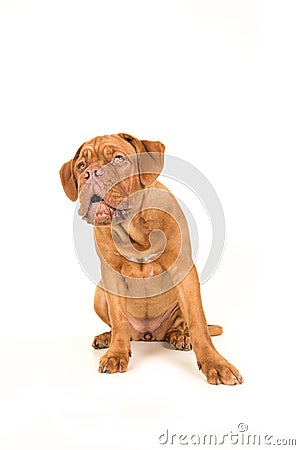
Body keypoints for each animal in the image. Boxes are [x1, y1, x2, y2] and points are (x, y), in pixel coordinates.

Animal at [59, 132, 243, 384]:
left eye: (118, 159)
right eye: (81, 166)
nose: (92, 173)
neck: (133, 227)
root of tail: (148, 335)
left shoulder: (184, 270)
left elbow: (198, 323)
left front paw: (215, 363)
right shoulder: (111, 275)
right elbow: (118, 319)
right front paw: (116, 353)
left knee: (181, 325)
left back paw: (180, 337)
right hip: (99, 293)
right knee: (122, 328)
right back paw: (108, 337)